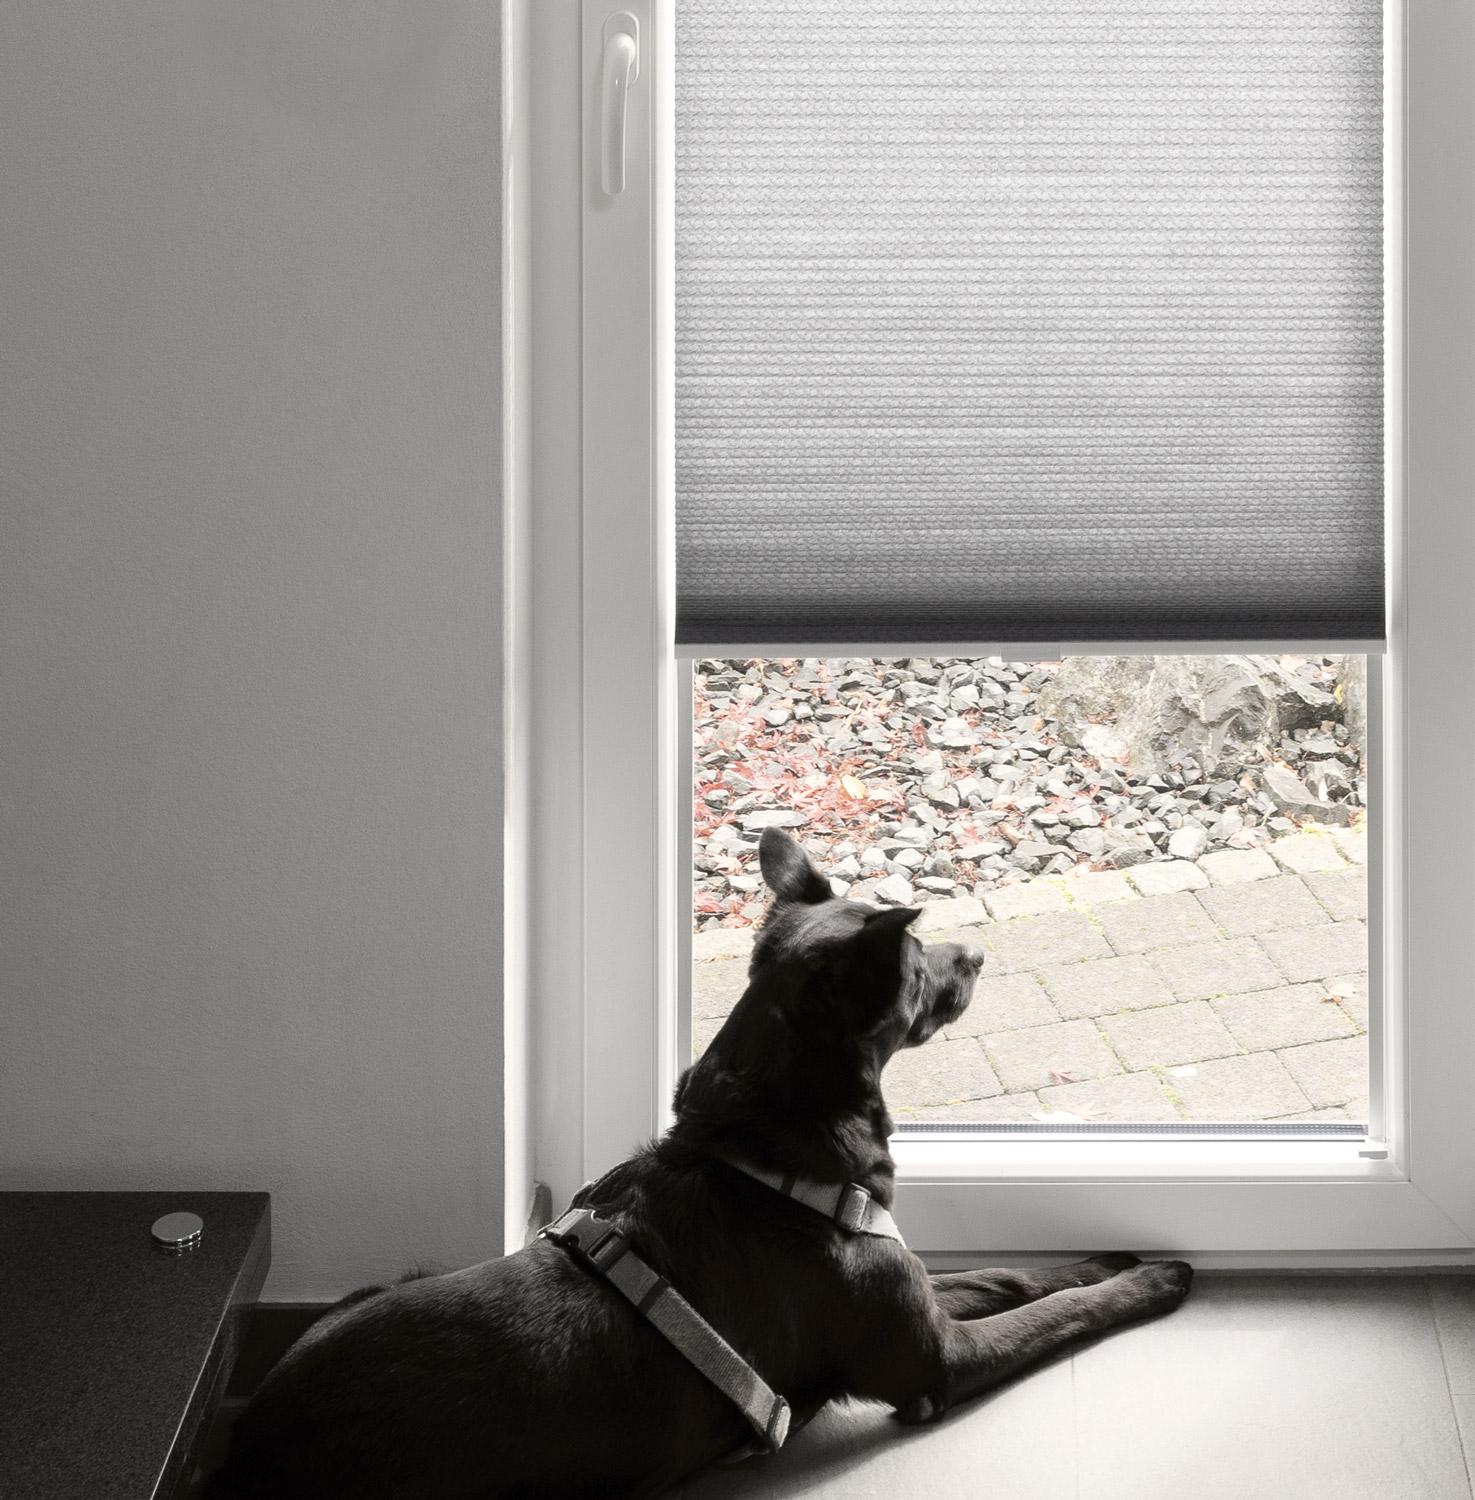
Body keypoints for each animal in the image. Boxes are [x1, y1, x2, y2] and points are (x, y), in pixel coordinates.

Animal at [207, 828, 1192, 1498]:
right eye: (915, 962)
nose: (979, 953)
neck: (764, 1150)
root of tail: (247, 1447)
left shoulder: (911, 1286)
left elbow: (1012, 1274)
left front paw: (1103, 1257)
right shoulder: (932, 1364)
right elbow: (1057, 1316)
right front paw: (1153, 1280)